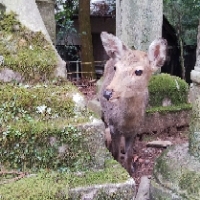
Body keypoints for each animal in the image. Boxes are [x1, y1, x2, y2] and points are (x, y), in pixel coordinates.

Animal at [99, 31, 167, 175]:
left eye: (138, 71)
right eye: (116, 68)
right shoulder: (113, 126)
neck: (126, 123)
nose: (107, 93)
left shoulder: (135, 129)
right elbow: (115, 152)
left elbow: (129, 154)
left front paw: (130, 169)